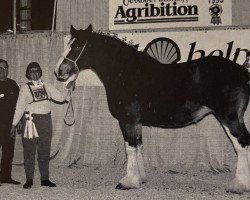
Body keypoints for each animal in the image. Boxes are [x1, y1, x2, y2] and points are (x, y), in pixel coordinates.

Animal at [55, 24, 250, 194]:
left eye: (77, 46)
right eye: (68, 43)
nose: (59, 71)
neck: (125, 72)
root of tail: (243, 72)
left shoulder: (127, 120)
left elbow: (130, 148)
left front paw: (128, 182)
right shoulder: (137, 122)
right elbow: (138, 146)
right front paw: (140, 179)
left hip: (230, 117)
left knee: (242, 144)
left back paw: (239, 185)